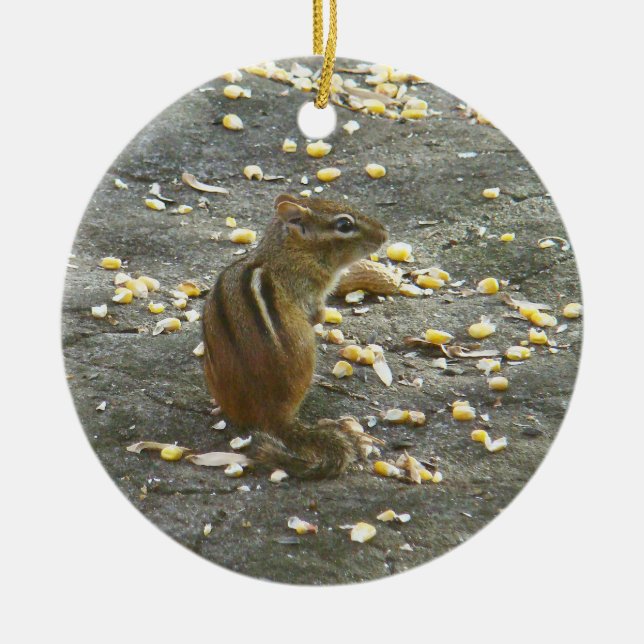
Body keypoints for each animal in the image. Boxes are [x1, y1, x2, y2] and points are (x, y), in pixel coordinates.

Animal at [202, 193, 388, 479]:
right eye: (345, 225)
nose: (384, 235)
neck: (287, 251)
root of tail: (272, 415)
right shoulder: (310, 290)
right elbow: (317, 314)